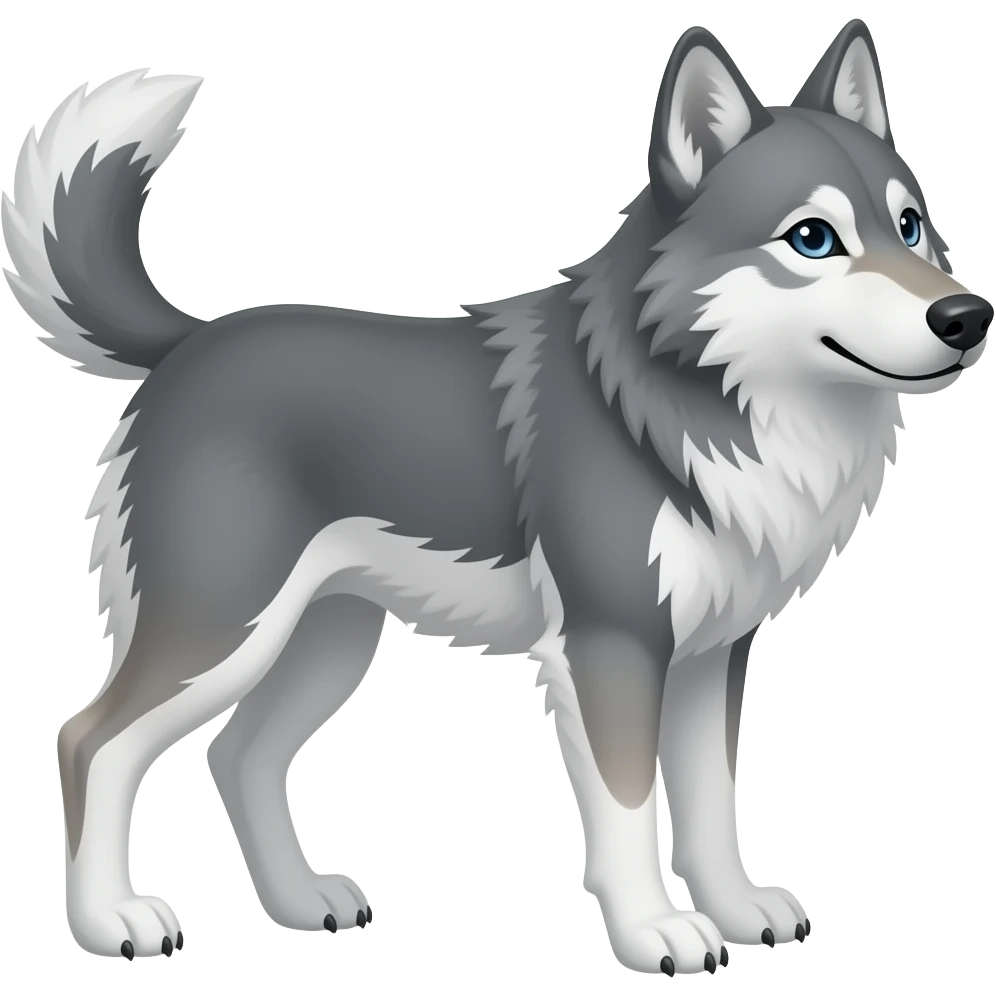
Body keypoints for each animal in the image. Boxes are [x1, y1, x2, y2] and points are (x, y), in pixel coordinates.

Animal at [6, 19, 989, 974]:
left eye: (911, 226)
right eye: (813, 239)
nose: (966, 317)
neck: (692, 397)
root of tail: (188, 343)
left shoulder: (711, 654)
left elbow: (712, 803)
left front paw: (737, 911)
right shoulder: (612, 646)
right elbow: (631, 807)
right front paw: (655, 933)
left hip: (326, 636)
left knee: (237, 752)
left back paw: (299, 902)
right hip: (223, 626)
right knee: (92, 741)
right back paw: (111, 921)